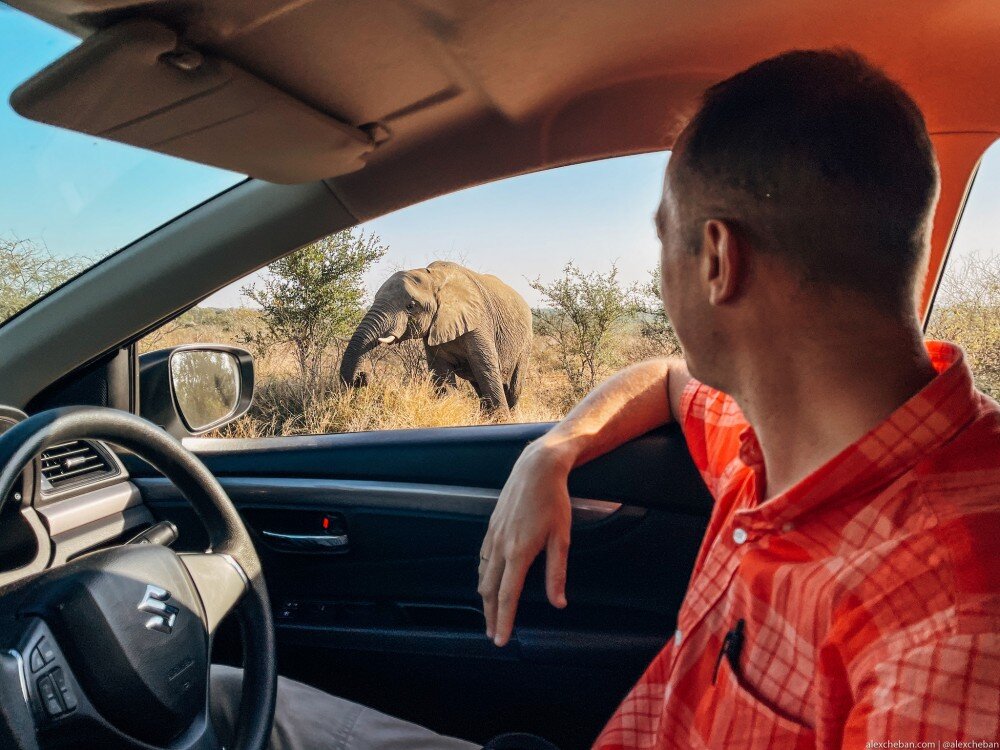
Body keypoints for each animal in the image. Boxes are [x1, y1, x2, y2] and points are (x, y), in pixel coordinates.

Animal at [340, 262, 536, 418]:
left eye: (411, 306)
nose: (361, 377)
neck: (435, 277)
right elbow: (441, 372)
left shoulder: (479, 322)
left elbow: (485, 367)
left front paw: (500, 420)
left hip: (526, 342)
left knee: (513, 387)